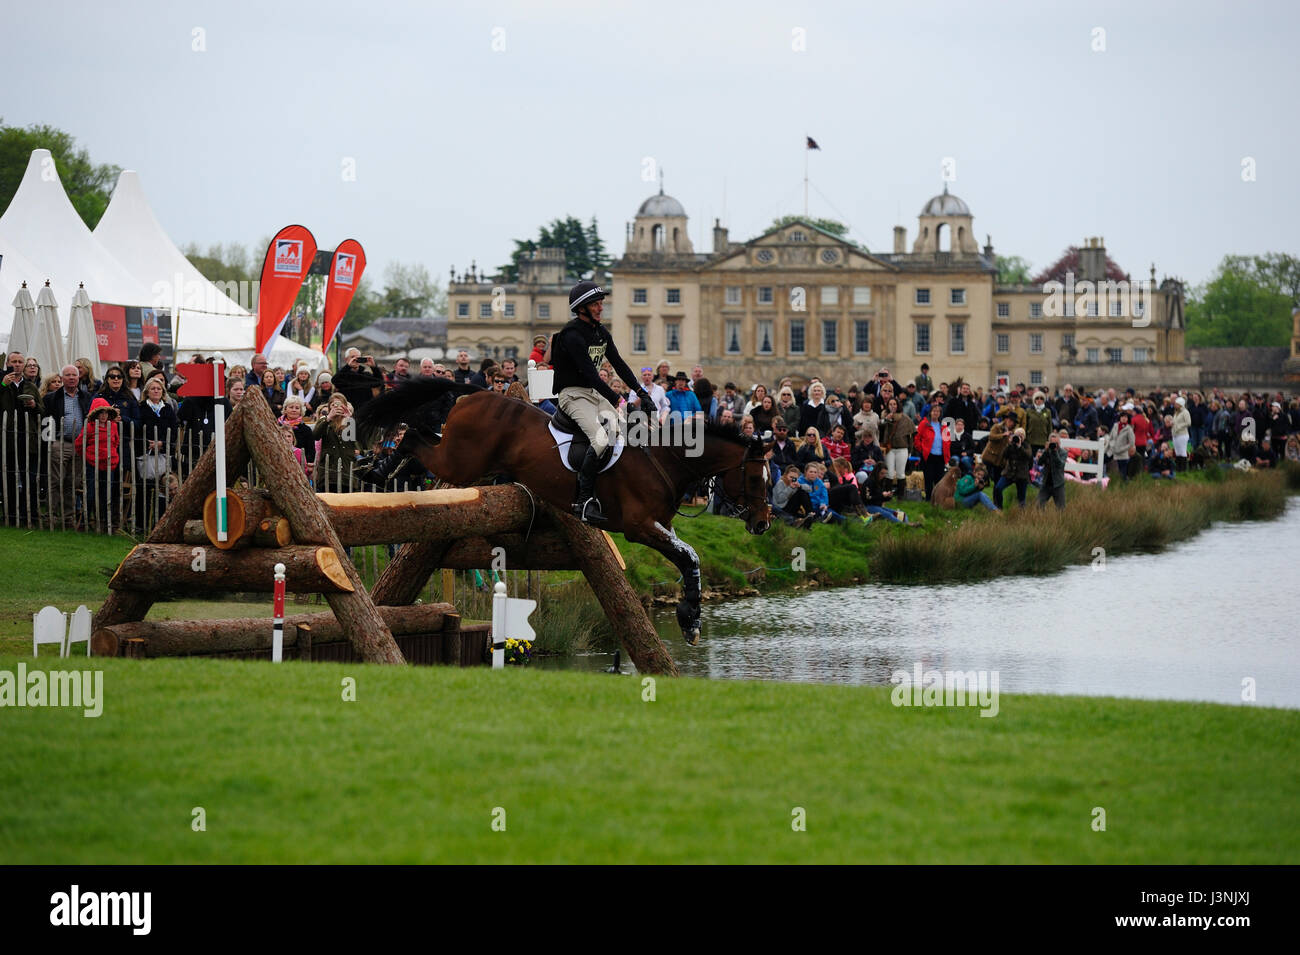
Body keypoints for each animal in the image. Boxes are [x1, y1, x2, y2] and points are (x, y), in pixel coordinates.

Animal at [356, 379, 769, 641]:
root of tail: (477, 393)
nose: (763, 525)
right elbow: (690, 555)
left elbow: (689, 560)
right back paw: (377, 468)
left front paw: (691, 620)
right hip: (461, 463)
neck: (664, 460)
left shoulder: (661, 527)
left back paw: (381, 468)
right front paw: (690, 620)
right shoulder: (639, 527)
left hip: (464, 459)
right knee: (413, 435)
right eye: (754, 478)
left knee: (422, 436)